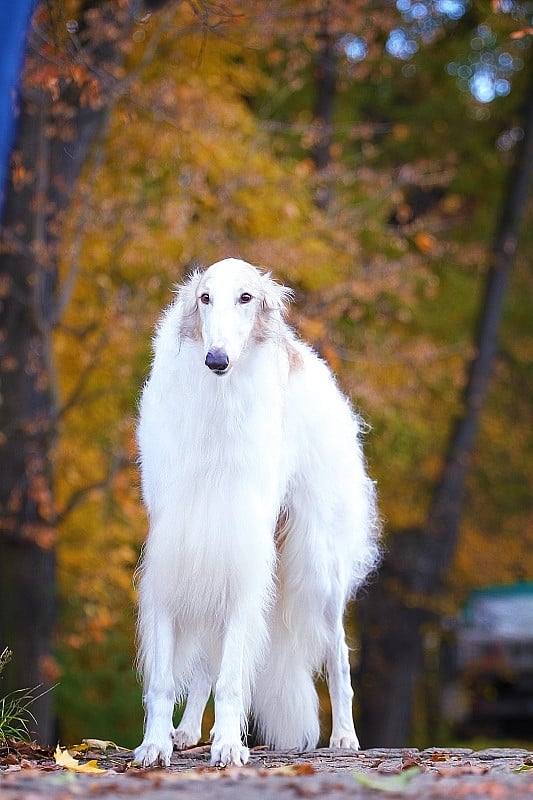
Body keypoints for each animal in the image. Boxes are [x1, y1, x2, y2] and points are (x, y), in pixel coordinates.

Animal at [135, 258, 380, 768]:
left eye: (246, 297)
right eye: (204, 298)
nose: (216, 360)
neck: (217, 411)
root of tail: (306, 357)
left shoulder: (245, 556)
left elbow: (231, 677)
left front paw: (229, 744)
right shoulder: (176, 552)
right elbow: (166, 679)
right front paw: (155, 744)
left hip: (320, 569)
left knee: (339, 657)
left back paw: (344, 737)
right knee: (205, 664)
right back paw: (187, 731)